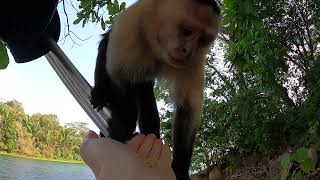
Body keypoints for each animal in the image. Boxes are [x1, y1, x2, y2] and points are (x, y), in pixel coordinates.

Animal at [90, 0, 220, 179]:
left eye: (202, 40)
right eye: (187, 31)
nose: (188, 51)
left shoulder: (195, 59)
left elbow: (188, 108)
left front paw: (179, 168)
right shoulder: (130, 26)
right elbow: (119, 78)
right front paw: (120, 130)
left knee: (144, 90)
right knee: (106, 48)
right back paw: (102, 93)